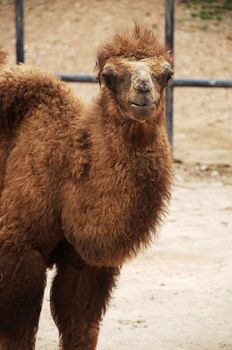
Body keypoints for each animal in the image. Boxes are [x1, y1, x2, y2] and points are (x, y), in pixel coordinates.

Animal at [0, 25, 172, 350]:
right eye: (109, 75)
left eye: (167, 74)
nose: (143, 89)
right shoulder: (16, 246)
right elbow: (17, 334)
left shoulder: (86, 262)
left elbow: (81, 327)